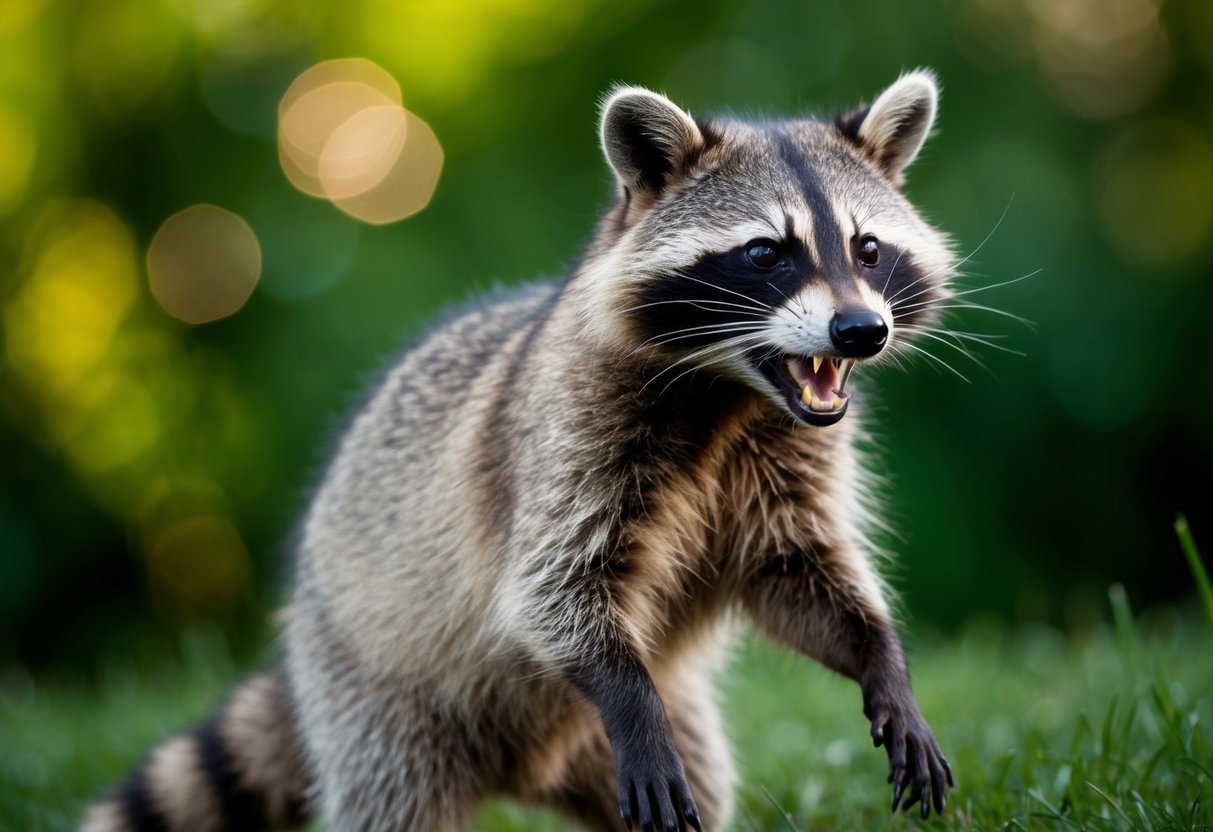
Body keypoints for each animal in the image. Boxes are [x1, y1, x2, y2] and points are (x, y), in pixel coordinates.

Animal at [84, 70, 957, 832]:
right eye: (767, 253)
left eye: (867, 248)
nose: (860, 331)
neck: (731, 392)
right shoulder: (564, 438)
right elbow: (549, 588)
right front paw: (628, 697)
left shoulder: (786, 462)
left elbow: (796, 575)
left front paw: (882, 658)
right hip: (375, 696)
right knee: (392, 798)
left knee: (704, 785)